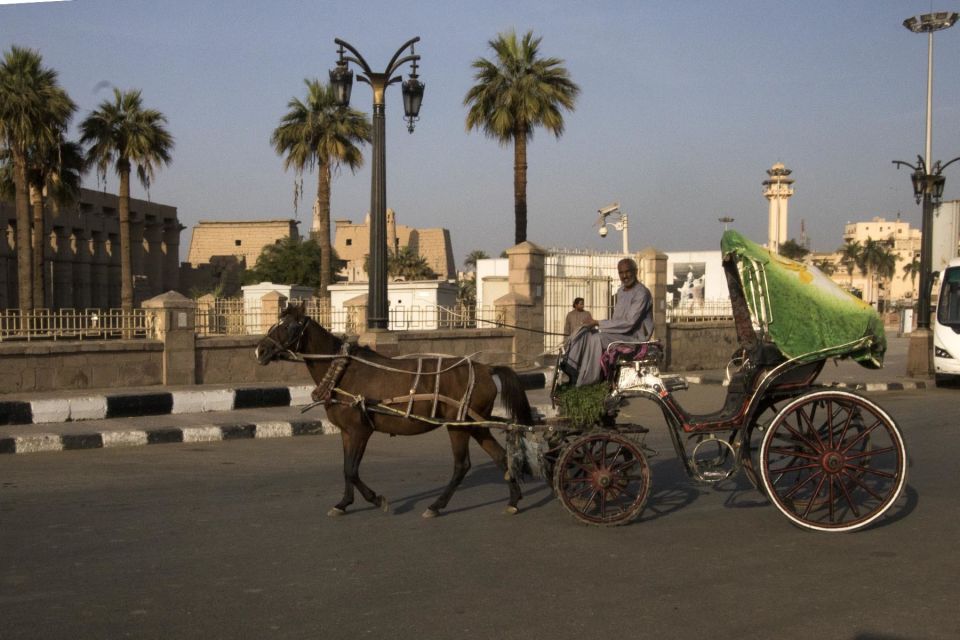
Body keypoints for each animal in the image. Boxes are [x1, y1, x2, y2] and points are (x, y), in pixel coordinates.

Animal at [253, 302, 532, 516]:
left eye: (288, 326)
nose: (260, 350)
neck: (342, 371)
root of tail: (487, 369)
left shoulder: (360, 430)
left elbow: (352, 470)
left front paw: (377, 499)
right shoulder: (347, 432)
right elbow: (346, 469)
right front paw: (343, 503)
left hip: (458, 426)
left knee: (462, 466)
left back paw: (436, 506)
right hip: (476, 424)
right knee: (500, 456)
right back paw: (513, 501)